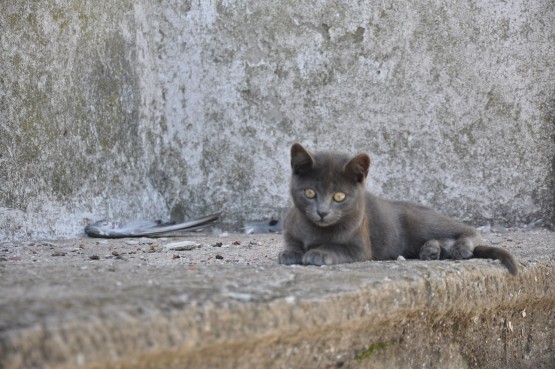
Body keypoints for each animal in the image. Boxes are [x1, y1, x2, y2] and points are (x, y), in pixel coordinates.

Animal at [280, 142, 520, 274]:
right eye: (310, 193)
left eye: (339, 196)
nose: (322, 212)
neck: (316, 230)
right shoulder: (291, 228)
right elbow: (292, 244)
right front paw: (291, 253)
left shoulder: (359, 247)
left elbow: (336, 247)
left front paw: (317, 253)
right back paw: (431, 250)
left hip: (421, 220)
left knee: (467, 229)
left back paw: (458, 247)